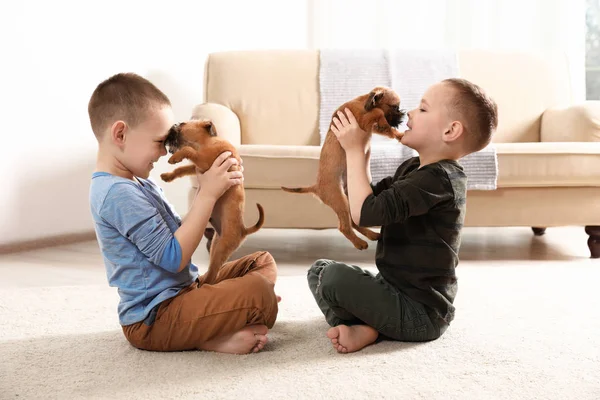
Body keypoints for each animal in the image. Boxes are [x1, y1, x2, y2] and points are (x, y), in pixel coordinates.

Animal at [161, 119, 264, 284]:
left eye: (182, 124)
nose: (173, 125)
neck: (205, 142)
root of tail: (244, 229)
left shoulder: (204, 160)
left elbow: (188, 150)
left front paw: (175, 158)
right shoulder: (197, 165)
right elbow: (182, 169)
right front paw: (168, 176)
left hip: (221, 249)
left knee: (212, 276)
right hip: (216, 244)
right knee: (212, 273)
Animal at [282, 87, 406, 250]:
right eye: (394, 107)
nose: (402, 116)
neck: (363, 104)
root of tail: (316, 187)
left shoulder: (369, 125)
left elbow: (384, 126)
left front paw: (399, 134)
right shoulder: (364, 121)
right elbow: (378, 112)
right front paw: (389, 126)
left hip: (349, 199)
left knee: (354, 221)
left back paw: (371, 235)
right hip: (340, 200)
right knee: (344, 227)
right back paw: (359, 243)